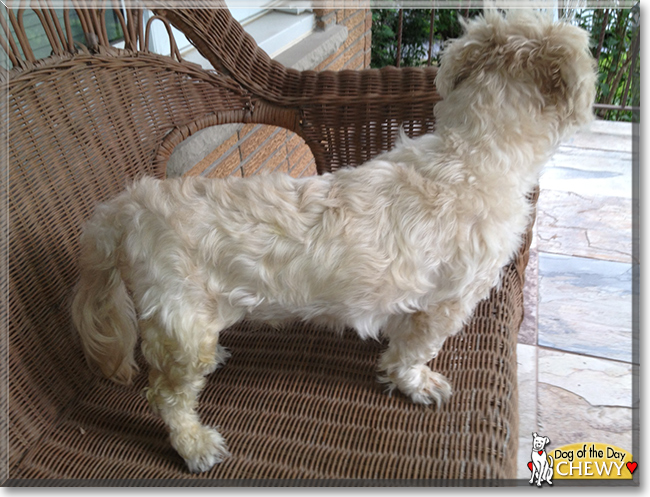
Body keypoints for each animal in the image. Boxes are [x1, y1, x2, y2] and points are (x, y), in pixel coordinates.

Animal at [69, 9, 592, 470]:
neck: (471, 156)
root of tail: (129, 207)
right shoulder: (448, 302)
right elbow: (413, 351)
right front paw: (414, 382)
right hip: (182, 327)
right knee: (166, 395)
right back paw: (193, 444)